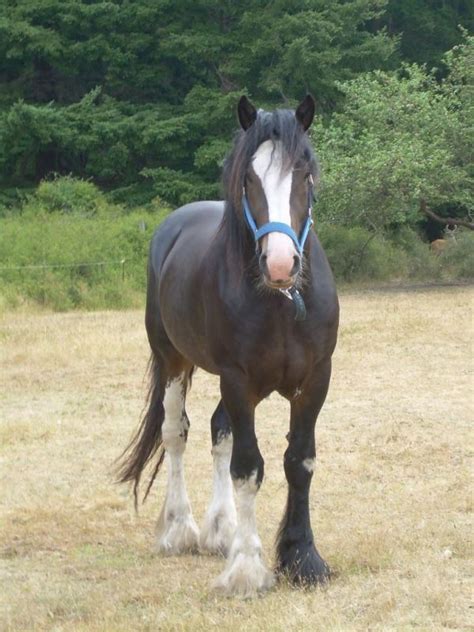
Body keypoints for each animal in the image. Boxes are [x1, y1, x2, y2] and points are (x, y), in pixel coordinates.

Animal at [118, 95, 340, 596]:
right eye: (249, 178)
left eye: (304, 172)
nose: (280, 264)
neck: (281, 304)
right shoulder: (239, 382)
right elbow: (248, 467)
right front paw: (247, 568)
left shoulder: (315, 381)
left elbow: (299, 462)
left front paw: (302, 558)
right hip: (173, 360)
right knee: (176, 433)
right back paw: (180, 529)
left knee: (219, 431)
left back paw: (221, 528)